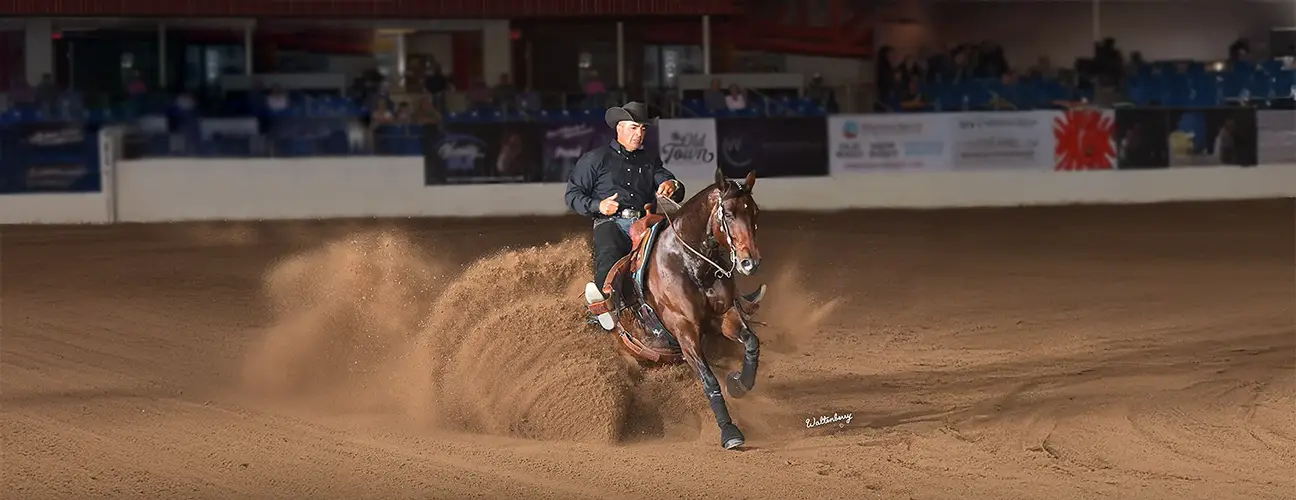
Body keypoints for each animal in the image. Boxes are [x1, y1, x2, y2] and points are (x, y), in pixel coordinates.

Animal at [588, 167, 765, 450]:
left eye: (754, 211)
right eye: (727, 213)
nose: (750, 263)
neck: (690, 264)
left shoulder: (724, 315)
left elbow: (751, 342)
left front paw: (738, 383)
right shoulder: (684, 329)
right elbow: (708, 379)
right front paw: (729, 431)